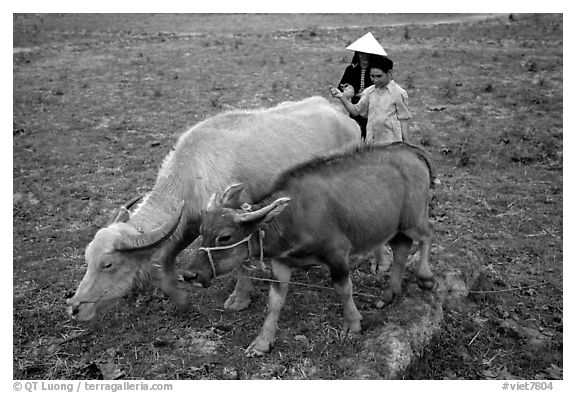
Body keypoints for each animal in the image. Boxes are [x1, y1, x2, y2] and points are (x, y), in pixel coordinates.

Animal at [66, 96, 360, 320]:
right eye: (87, 260)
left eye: (108, 264)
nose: (74, 307)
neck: (193, 172)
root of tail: (343, 115)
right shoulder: (192, 222)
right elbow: (167, 256)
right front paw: (180, 298)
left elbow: (243, 260)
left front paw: (239, 298)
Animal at [184, 142, 436, 356]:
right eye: (202, 231)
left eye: (225, 237)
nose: (189, 275)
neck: (294, 217)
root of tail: (410, 151)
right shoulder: (281, 263)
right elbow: (274, 302)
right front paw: (262, 343)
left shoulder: (337, 254)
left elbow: (344, 289)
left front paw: (352, 324)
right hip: (397, 227)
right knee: (402, 249)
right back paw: (390, 293)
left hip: (414, 220)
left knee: (427, 235)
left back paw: (425, 276)